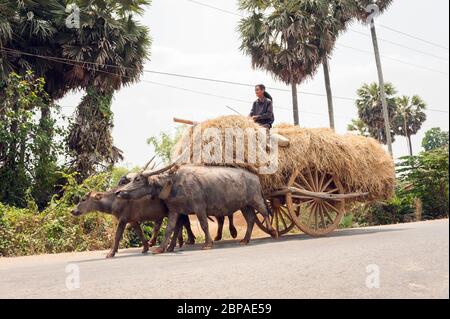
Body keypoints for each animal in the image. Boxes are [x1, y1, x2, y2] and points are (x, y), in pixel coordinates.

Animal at [116, 165, 276, 255]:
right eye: (130, 179)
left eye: (137, 179)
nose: (118, 192)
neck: (174, 183)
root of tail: (255, 177)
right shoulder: (175, 211)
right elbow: (169, 229)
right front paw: (159, 249)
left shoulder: (199, 207)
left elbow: (204, 224)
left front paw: (208, 244)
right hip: (245, 205)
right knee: (251, 219)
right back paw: (245, 240)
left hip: (256, 199)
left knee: (264, 212)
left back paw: (273, 231)